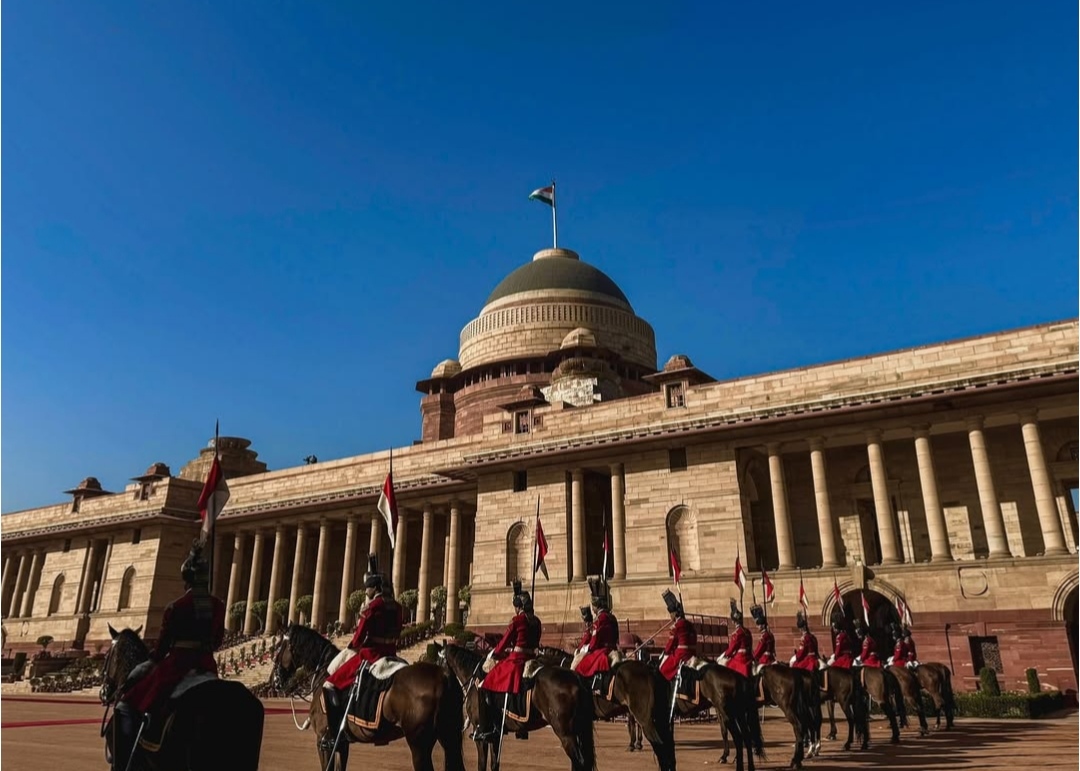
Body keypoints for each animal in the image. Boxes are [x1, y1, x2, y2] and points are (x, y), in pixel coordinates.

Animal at [270, 621, 464, 768]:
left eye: (278, 647)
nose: (275, 681)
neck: (325, 669)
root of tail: (443, 674)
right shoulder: (342, 743)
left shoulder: (323, 742)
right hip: (449, 737)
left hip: (418, 744)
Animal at [434, 639, 596, 768]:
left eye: (436, 663)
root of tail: (577, 677)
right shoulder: (494, 735)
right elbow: (494, 764)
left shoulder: (480, 735)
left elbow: (482, 764)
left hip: (566, 733)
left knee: (579, 762)